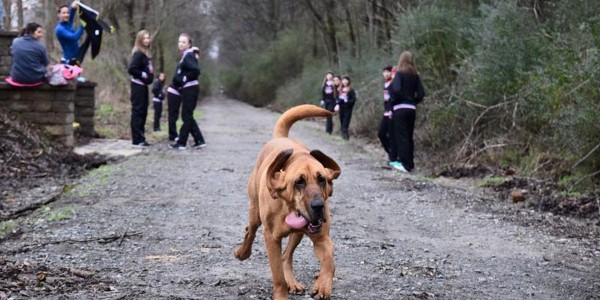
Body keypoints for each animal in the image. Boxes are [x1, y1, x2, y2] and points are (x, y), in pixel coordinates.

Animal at [234, 104, 342, 298]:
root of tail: (281, 138)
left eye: (321, 179)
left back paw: (293, 282)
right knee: (250, 230)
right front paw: (281, 295)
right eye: (299, 182)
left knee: (286, 256)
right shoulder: (271, 238)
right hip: (255, 213)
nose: (318, 206)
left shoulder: (321, 238)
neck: (288, 207)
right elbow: (278, 277)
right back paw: (242, 252)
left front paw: (323, 284)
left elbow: (330, 259)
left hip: (297, 234)